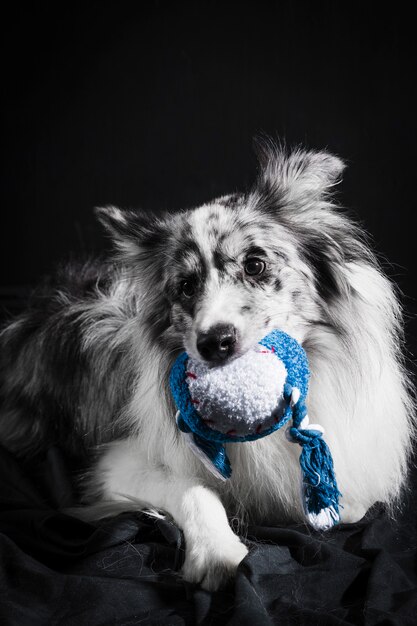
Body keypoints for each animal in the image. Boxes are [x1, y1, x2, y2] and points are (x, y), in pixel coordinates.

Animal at [1, 140, 414, 588]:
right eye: (186, 287)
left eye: (255, 265)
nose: (214, 343)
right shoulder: (114, 464)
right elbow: (195, 490)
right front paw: (218, 554)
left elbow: (350, 504)